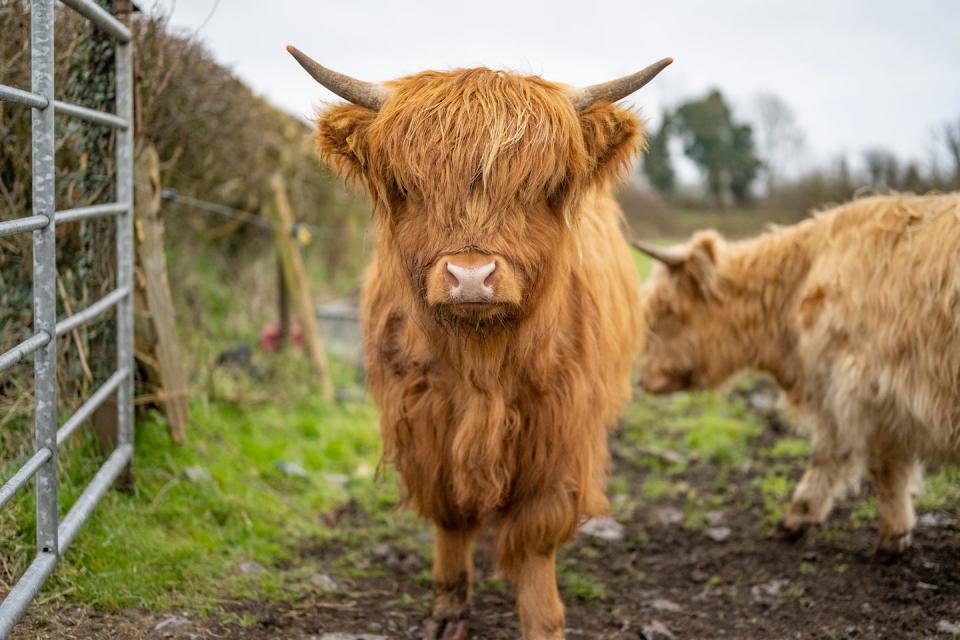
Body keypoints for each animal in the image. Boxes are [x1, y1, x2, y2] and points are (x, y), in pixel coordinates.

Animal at [288, 46, 672, 640]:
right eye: (407, 186)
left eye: (544, 186)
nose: (471, 277)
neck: (480, 363)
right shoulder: (425, 423)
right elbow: (451, 516)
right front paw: (448, 609)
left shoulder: (557, 432)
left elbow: (536, 540)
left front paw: (543, 621)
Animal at [636, 194, 960, 556]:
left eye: (665, 310)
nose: (642, 378)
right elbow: (844, 458)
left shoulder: (860, 391)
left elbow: (870, 464)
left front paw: (890, 537)